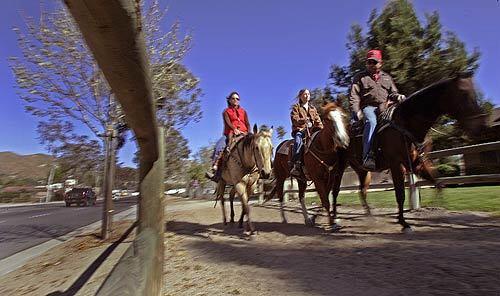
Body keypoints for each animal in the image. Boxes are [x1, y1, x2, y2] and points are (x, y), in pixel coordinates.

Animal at [332, 74, 488, 231]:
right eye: (463, 93)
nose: (481, 126)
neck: (406, 124)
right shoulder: (396, 165)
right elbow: (400, 193)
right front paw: (403, 222)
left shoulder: (417, 163)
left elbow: (438, 183)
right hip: (340, 166)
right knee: (335, 191)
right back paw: (334, 221)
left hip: (363, 171)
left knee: (362, 192)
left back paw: (371, 218)